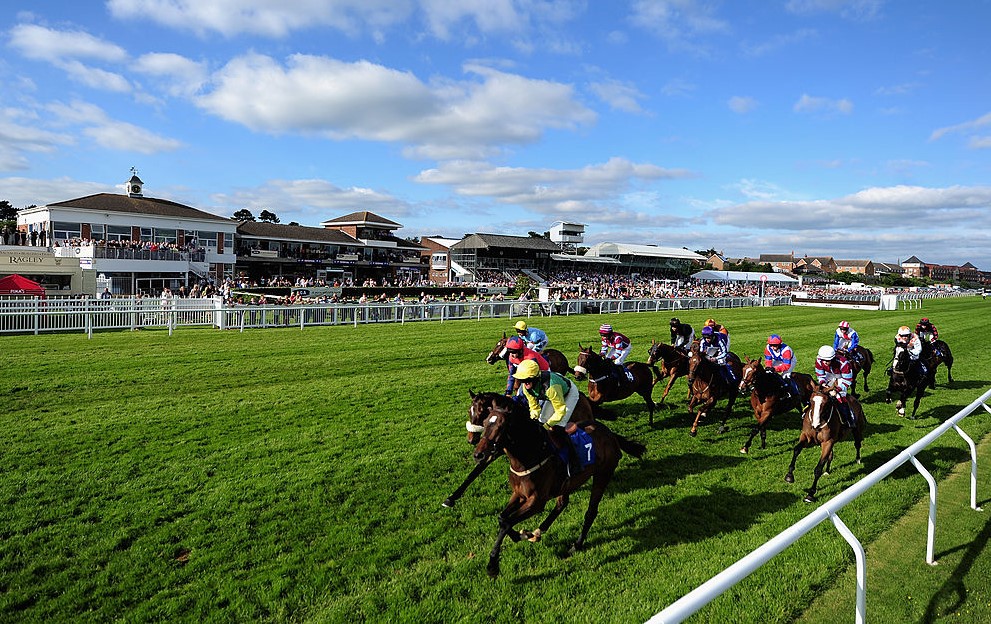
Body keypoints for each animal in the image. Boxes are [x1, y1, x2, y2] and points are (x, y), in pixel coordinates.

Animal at [446, 390, 600, 508]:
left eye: (480, 412)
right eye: (469, 411)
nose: (471, 439)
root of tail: (584, 398)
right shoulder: (495, 449)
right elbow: (475, 472)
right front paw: (451, 498)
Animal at [474, 398, 652, 576]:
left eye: (501, 426)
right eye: (485, 422)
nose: (478, 454)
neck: (532, 455)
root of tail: (610, 433)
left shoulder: (536, 502)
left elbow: (507, 522)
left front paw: (493, 565)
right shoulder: (519, 494)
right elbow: (502, 518)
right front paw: (524, 535)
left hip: (603, 475)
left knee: (591, 512)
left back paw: (576, 545)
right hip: (567, 484)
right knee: (561, 504)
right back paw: (539, 531)